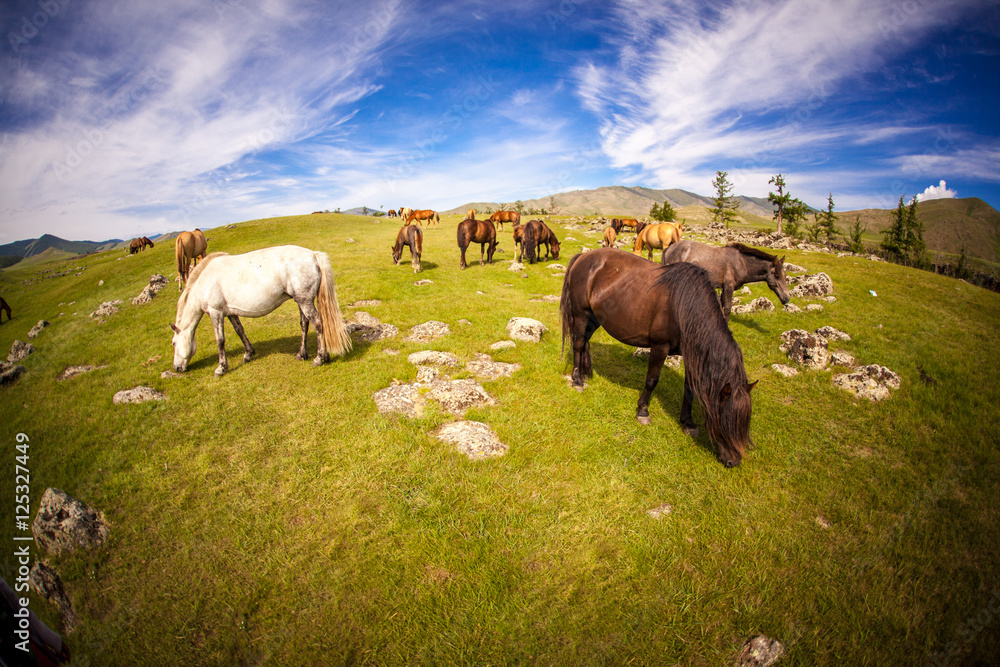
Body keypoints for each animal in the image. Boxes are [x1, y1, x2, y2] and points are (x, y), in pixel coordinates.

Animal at [170, 246, 352, 376]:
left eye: (173, 343)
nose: (177, 368)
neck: (205, 281)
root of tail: (313, 254)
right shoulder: (230, 313)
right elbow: (239, 331)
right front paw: (248, 354)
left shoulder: (216, 312)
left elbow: (220, 340)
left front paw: (221, 368)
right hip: (302, 300)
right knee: (304, 324)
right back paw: (302, 354)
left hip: (305, 301)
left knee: (318, 324)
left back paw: (320, 358)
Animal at [560, 248, 756, 467]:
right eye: (726, 421)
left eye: (744, 424)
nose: (734, 461)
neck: (683, 305)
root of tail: (583, 256)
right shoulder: (660, 348)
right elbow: (652, 380)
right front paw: (643, 412)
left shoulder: (689, 354)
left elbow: (690, 388)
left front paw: (688, 422)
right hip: (581, 314)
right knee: (578, 344)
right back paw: (577, 380)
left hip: (595, 318)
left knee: (585, 342)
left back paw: (585, 373)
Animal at [661, 241, 790, 320]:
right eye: (777, 275)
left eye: (785, 275)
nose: (787, 298)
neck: (741, 263)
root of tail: (669, 248)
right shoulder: (729, 287)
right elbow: (727, 309)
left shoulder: (723, 288)